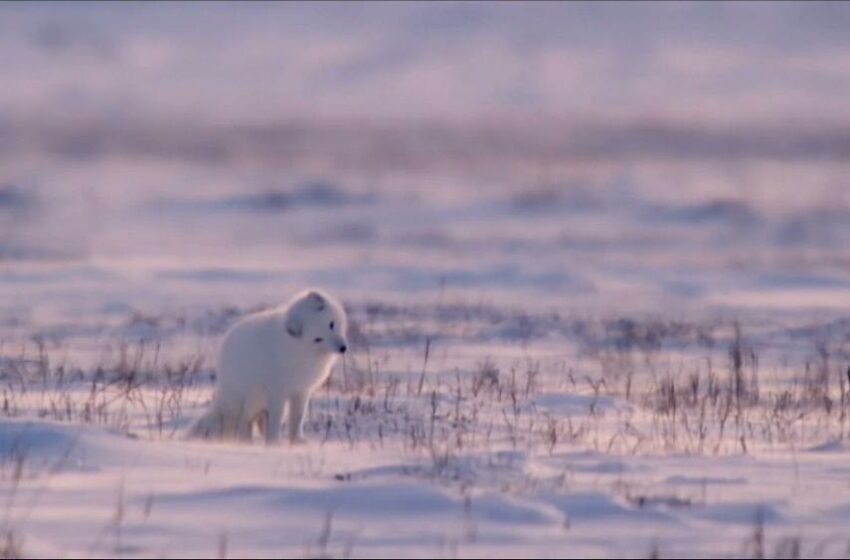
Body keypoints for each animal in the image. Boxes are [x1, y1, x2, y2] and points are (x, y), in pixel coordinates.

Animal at [189, 290, 348, 444]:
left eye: (331, 324)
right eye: (318, 339)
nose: (342, 348)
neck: (300, 350)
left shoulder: (301, 391)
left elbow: (297, 418)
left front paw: (297, 442)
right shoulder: (278, 392)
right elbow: (276, 419)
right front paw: (274, 443)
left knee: (258, 419)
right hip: (253, 395)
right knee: (244, 420)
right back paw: (246, 443)